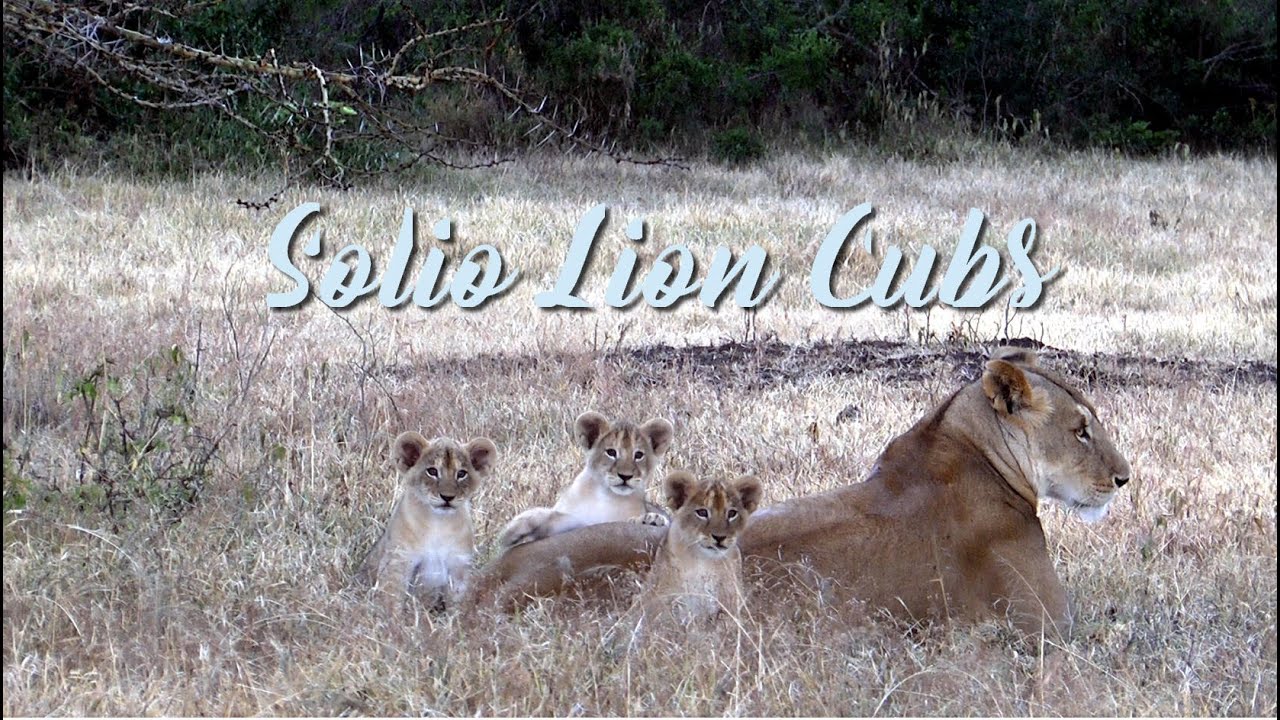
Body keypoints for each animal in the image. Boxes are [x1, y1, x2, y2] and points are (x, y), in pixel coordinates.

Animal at [354, 431, 497, 610]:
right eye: (432, 471)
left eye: (461, 474)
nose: (447, 497)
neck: (438, 523)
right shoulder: (399, 561)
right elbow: (391, 600)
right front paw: (389, 617)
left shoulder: (458, 567)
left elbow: (458, 606)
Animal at [495, 411, 673, 550]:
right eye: (611, 452)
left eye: (639, 455)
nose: (625, 476)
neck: (605, 496)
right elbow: (548, 516)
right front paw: (514, 530)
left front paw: (652, 520)